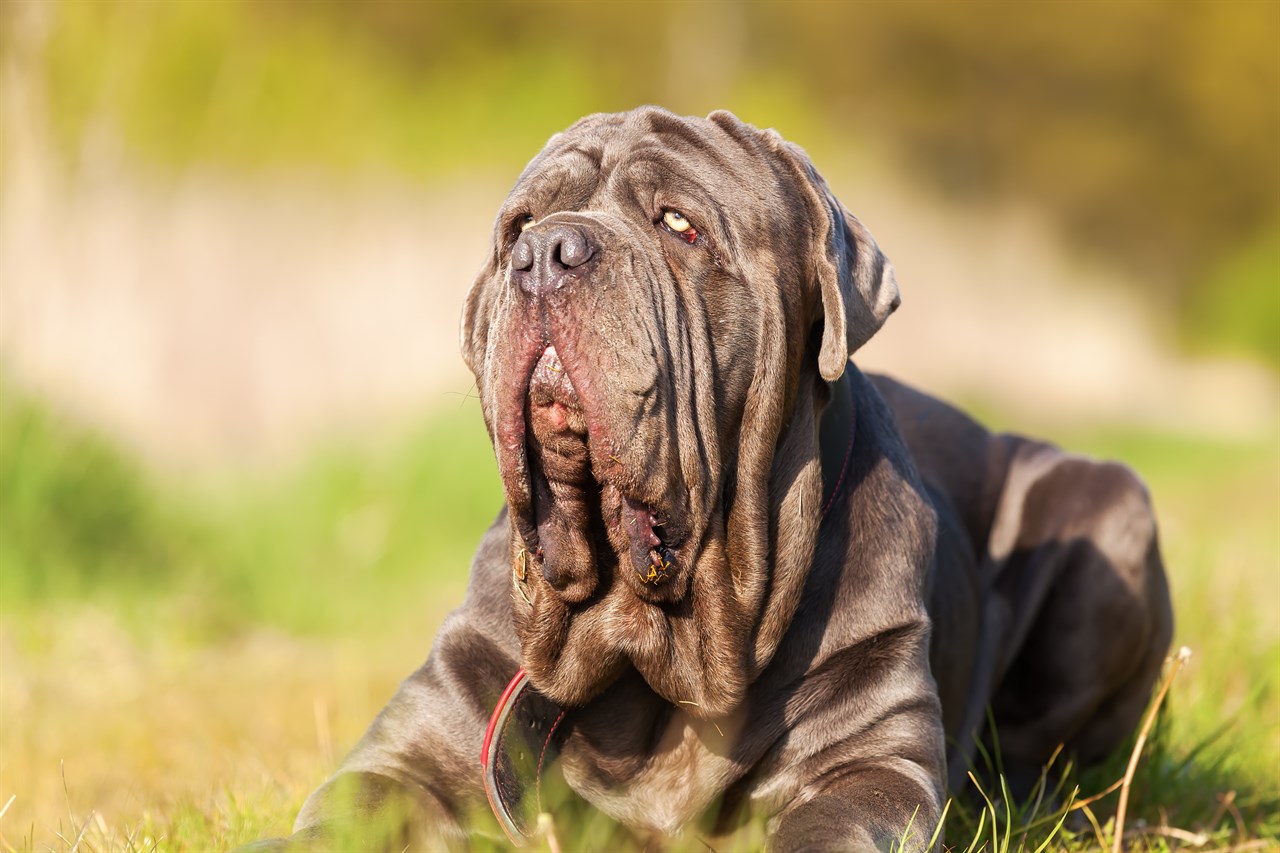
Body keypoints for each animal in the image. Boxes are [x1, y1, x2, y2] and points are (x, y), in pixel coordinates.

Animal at [259, 109, 1172, 845]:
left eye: (679, 224)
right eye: (518, 223)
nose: (546, 250)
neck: (651, 633)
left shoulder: (870, 768)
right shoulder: (410, 751)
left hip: (1109, 513)